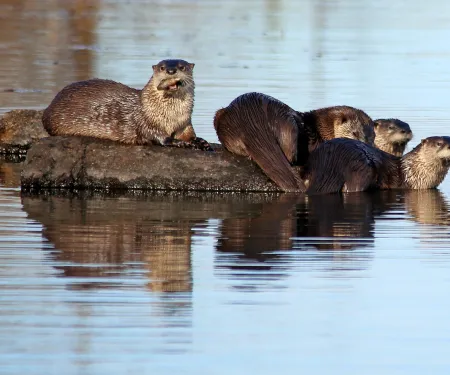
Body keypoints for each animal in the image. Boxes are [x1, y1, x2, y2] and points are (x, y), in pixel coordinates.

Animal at [42, 59, 213, 151]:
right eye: (162, 67)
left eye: (181, 67)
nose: (171, 71)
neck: (171, 116)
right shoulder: (147, 122)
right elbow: (161, 138)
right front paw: (182, 143)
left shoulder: (184, 123)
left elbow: (189, 135)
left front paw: (201, 142)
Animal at [214, 92, 376, 192]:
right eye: (354, 133)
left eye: (371, 138)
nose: (365, 145)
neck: (322, 128)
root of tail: (253, 117)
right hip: (288, 122)